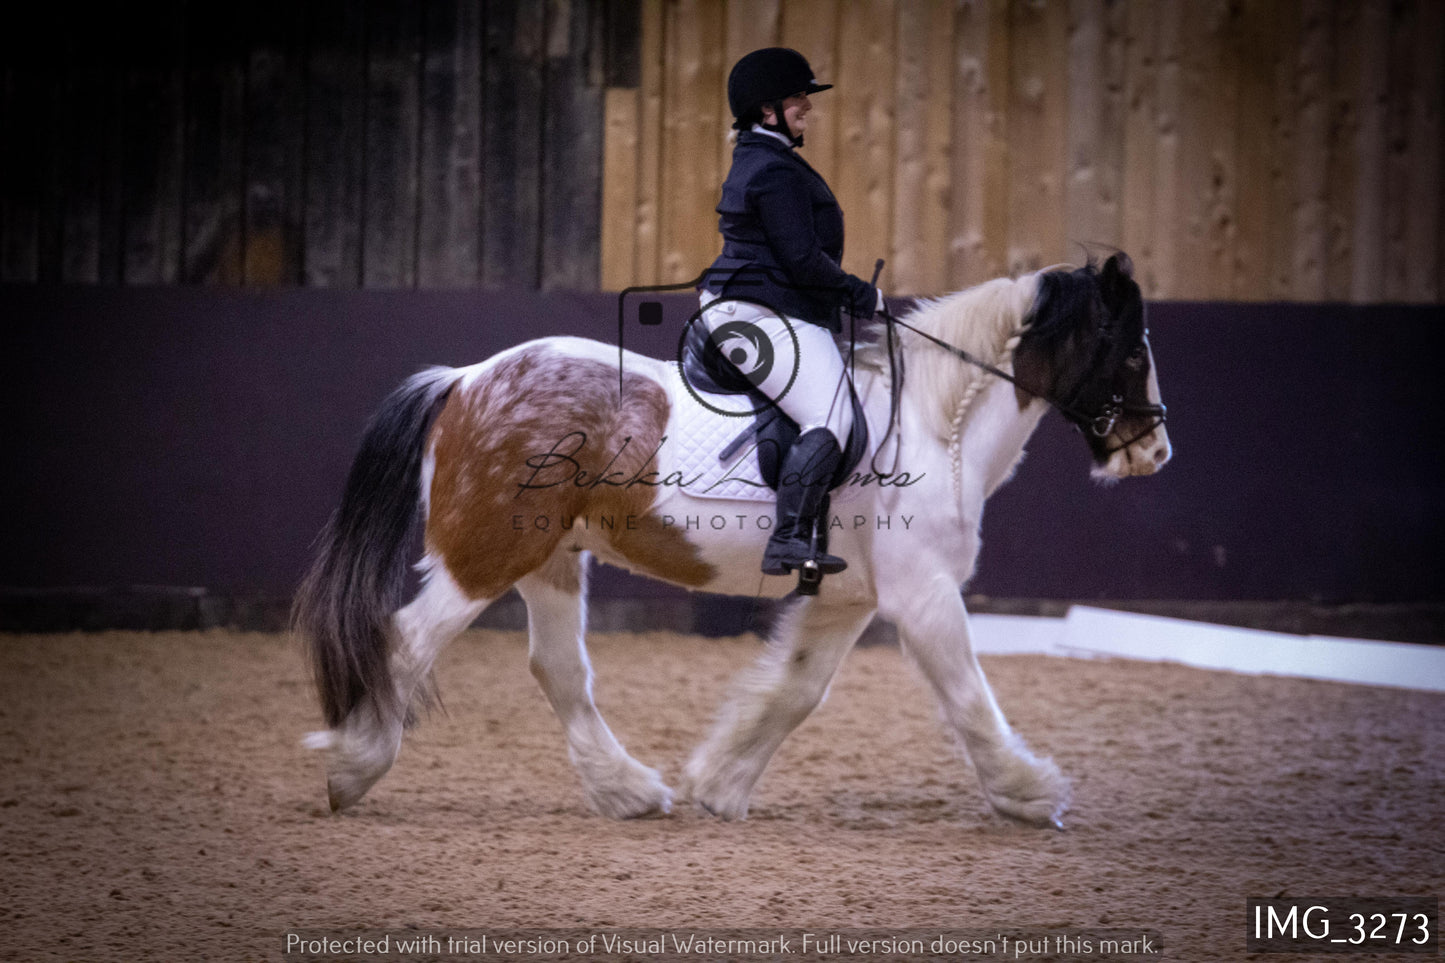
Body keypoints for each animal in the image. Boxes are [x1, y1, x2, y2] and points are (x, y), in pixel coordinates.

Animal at [296, 253, 1173, 827]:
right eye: (1132, 350)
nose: (1154, 450)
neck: (934, 418)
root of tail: (463, 378)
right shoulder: (923, 594)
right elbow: (966, 696)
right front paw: (1029, 791)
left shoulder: (850, 597)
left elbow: (796, 689)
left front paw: (719, 782)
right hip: (485, 557)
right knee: (404, 641)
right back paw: (352, 765)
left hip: (551, 559)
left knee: (558, 669)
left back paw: (628, 791)